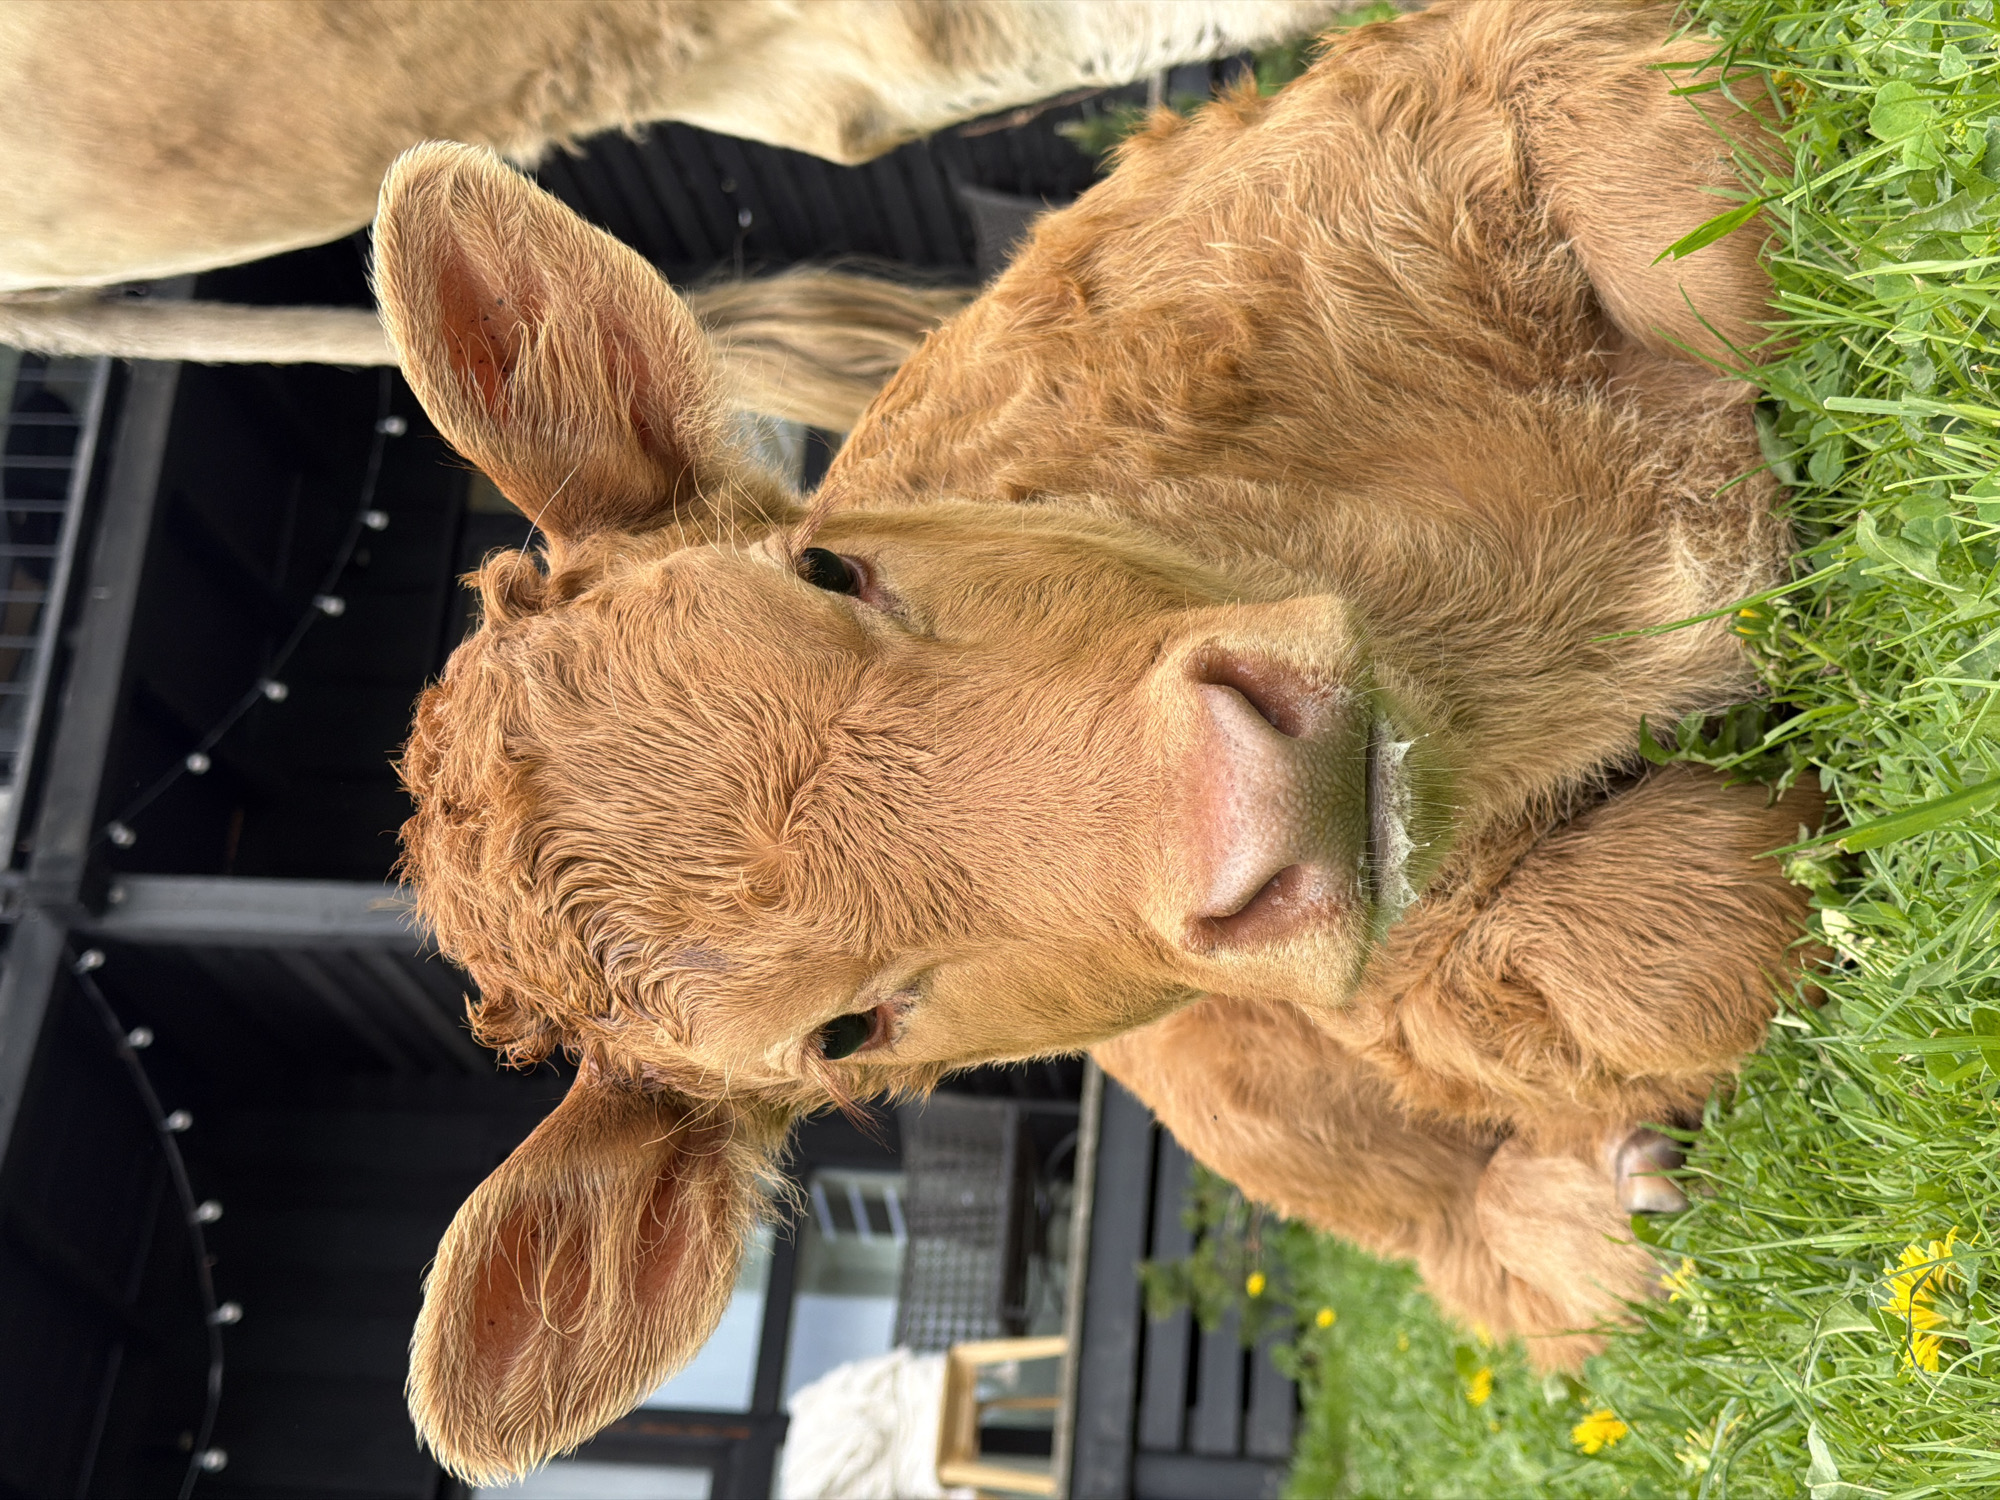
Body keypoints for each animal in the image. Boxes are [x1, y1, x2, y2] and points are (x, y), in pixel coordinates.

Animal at [367, 0, 1819, 1482]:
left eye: (827, 567)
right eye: (843, 1034)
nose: (1248, 796)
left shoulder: (1457, 83)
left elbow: (1684, 209)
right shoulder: (1395, 994)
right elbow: (1662, 949)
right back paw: (1597, 1216)